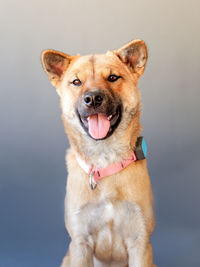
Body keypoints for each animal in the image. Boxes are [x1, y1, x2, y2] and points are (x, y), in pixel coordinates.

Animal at [41, 39, 156, 267]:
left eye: (112, 77)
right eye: (76, 82)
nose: (93, 98)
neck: (105, 159)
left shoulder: (140, 242)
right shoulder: (80, 243)